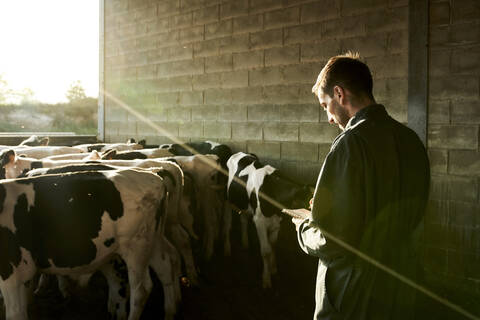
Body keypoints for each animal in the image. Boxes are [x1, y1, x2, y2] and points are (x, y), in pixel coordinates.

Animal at [0, 169, 171, 318]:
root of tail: (154, 177)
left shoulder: (12, 273)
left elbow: (15, 313)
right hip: (152, 243)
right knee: (164, 269)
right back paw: (170, 312)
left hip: (136, 247)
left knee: (141, 291)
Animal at [226, 152, 312, 288]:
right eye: (309, 203)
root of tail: (239, 153)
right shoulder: (259, 222)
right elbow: (266, 250)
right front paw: (266, 278)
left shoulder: (276, 222)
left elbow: (273, 245)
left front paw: (273, 268)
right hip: (228, 201)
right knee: (228, 223)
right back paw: (227, 248)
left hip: (244, 204)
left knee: (243, 219)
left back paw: (245, 242)